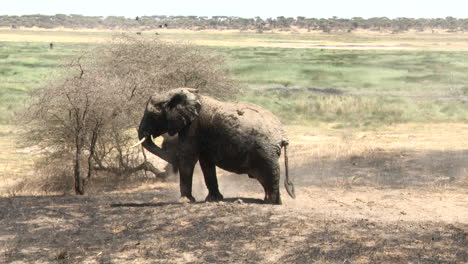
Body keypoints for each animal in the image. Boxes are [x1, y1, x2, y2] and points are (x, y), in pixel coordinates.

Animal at [136, 87, 296, 205]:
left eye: (153, 115)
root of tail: (283, 134)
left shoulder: (193, 128)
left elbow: (188, 158)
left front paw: (185, 201)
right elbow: (206, 163)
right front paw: (214, 199)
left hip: (264, 151)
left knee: (269, 174)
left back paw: (271, 202)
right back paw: (270, 201)